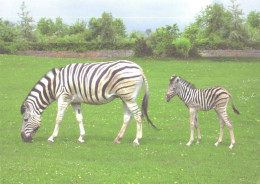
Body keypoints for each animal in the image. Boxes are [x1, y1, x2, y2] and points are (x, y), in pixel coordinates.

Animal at [20, 60, 156, 145]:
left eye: (25, 120)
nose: (23, 139)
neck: (55, 84)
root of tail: (140, 69)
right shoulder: (75, 101)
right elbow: (79, 119)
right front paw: (81, 138)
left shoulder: (64, 97)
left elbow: (58, 119)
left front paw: (51, 137)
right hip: (125, 97)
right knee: (128, 117)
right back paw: (118, 138)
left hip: (129, 97)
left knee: (138, 115)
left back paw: (136, 140)